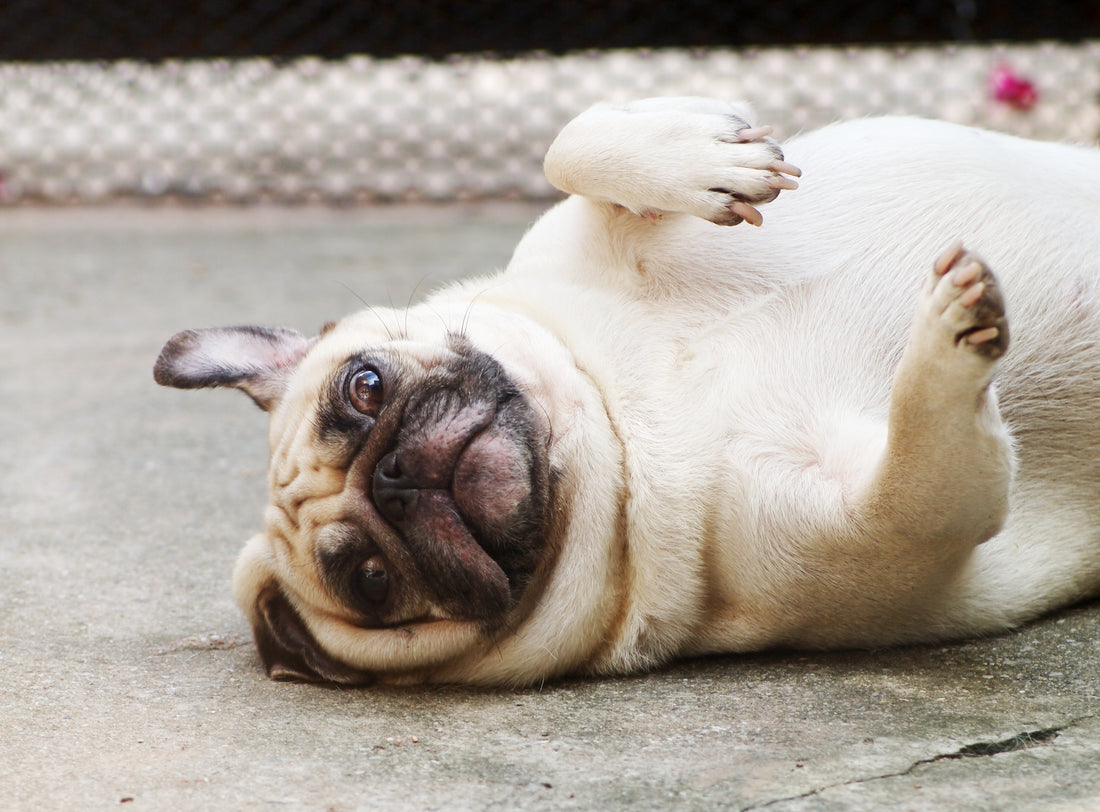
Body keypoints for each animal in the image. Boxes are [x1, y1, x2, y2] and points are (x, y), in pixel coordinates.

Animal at [152, 97, 1100, 686]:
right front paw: (946, 338)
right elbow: (920, 460)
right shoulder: (890, 524)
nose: (395, 476)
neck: (625, 420)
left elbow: (570, 141)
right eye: (372, 580)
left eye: (365, 386)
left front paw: (709, 157)